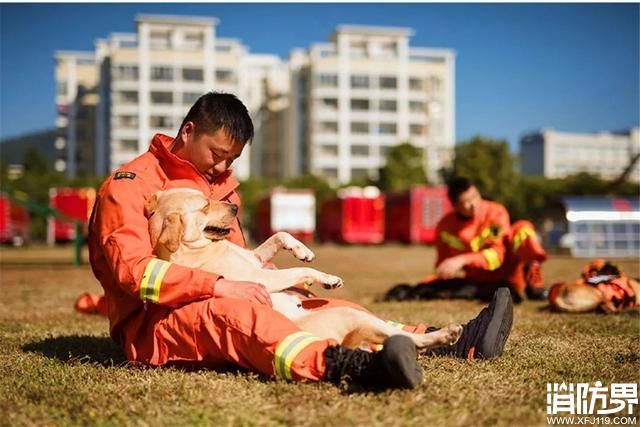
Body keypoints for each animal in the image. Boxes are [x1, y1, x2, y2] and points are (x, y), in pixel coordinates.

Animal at [147, 189, 462, 350]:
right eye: (203, 206)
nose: (235, 208)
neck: (198, 248)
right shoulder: (259, 276)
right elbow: (299, 272)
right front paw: (328, 278)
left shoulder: (257, 260)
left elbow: (281, 234)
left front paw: (304, 251)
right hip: (353, 315)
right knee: (411, 341)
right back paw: (446, 334)